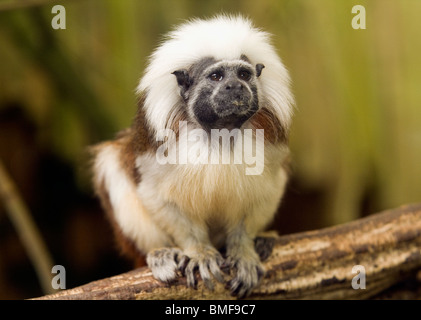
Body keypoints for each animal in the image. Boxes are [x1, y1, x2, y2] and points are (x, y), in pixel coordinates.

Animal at [92, 15, 294, 298]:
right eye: (216, 76)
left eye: (243, 74)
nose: (235, 86)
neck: (221, 132)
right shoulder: (156, 153)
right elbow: (161, 199)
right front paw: (199, 253)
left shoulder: (271, 147)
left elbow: (261, 196)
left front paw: (243, 251)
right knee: (111, 165)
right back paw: (161, 253)